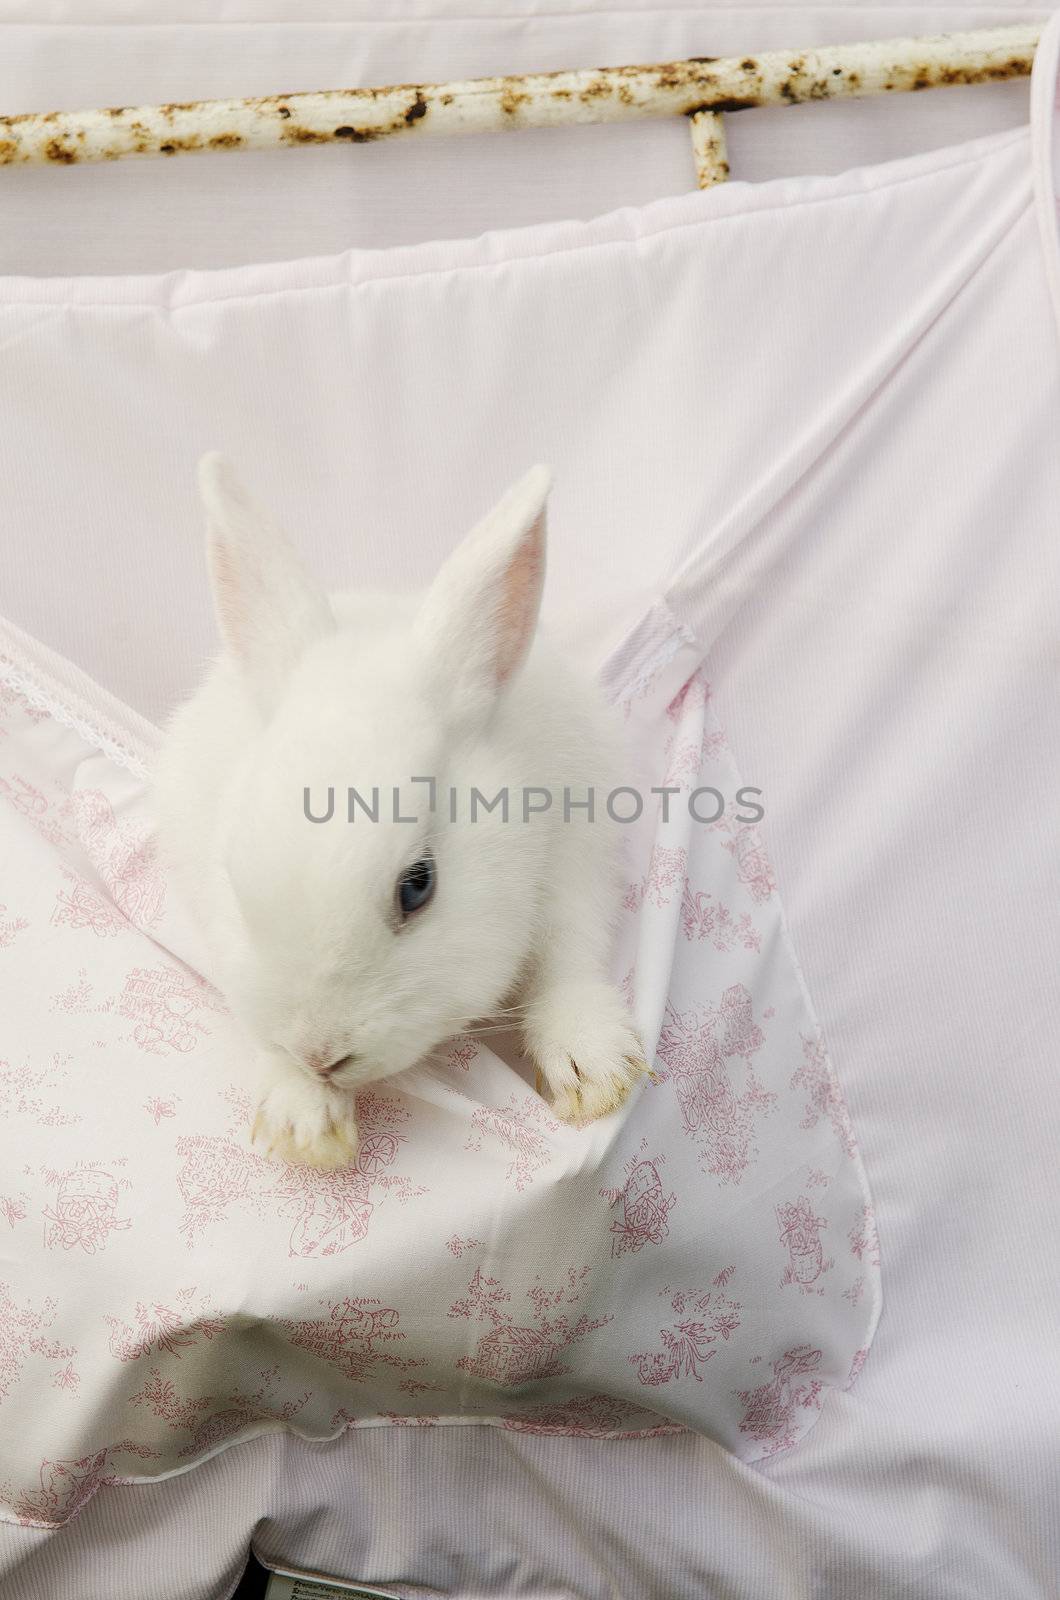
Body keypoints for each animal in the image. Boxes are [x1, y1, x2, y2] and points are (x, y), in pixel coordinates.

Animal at [149, 457, 646, 1171]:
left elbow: (568, 962)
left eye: (418, 886)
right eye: (237, 889)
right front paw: (303, 1124)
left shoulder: (580, 864)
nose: (320, 1053)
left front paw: (596, 1071)